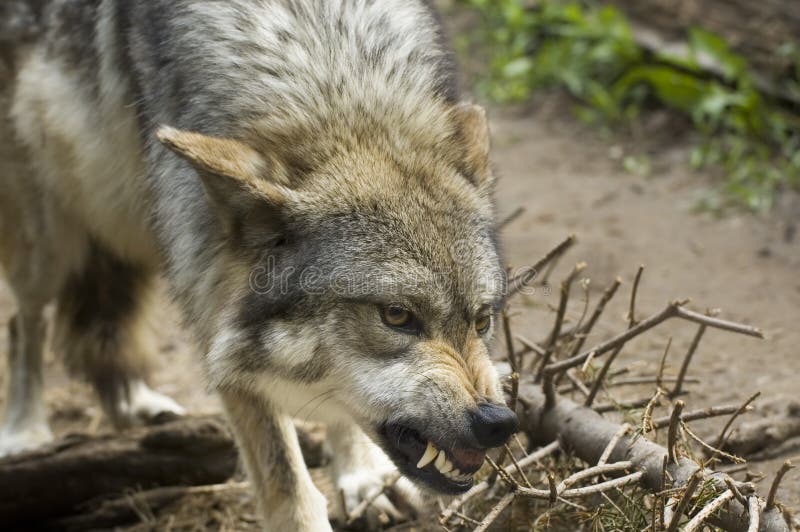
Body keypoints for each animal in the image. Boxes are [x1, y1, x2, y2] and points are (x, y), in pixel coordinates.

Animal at [0, 0, 520, 528]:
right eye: (396, 316)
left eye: (482, 320)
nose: (498, 423)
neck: (332, 81)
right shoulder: (212, 301)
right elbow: (286, 483)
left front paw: (363, 477)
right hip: (49, 236)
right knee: (24, 322)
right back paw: (25, 432)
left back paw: (137, 402)